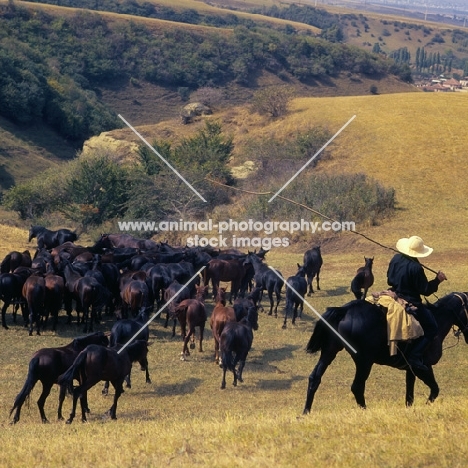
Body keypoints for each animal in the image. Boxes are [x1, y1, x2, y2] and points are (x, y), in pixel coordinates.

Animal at [304, 292, 468, 414]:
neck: (437, 318)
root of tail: (344, 311)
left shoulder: (411, 369)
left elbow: (409, 395)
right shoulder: (423, 367)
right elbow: (434, 389)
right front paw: (427, 405)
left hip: (329, 352)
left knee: (315, 378)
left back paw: (306, 412)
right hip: (364, 361)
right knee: (357, 387)